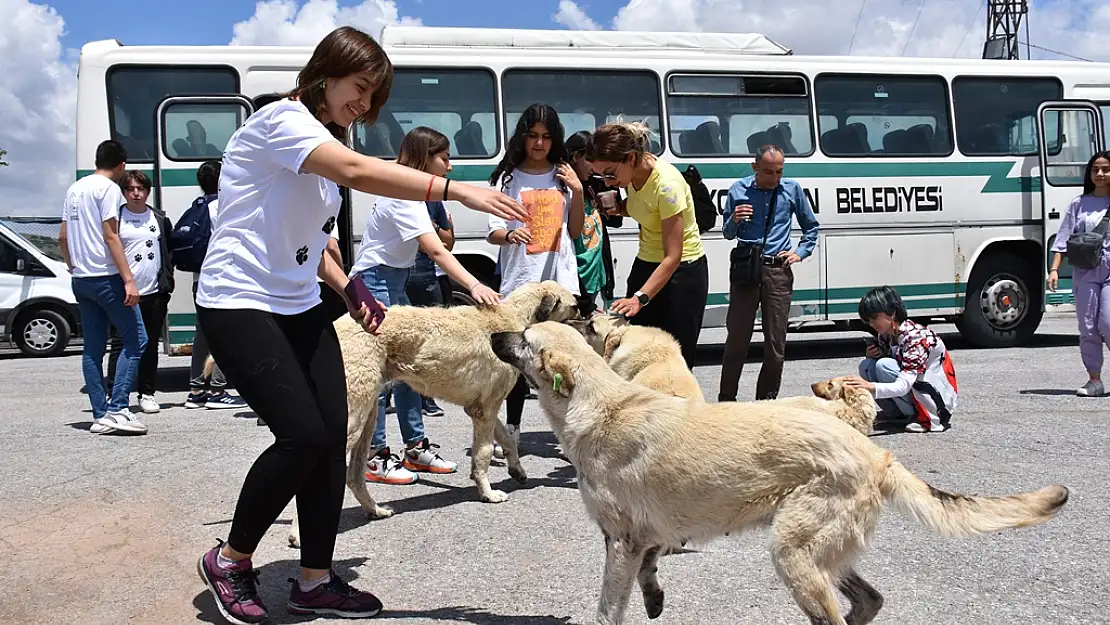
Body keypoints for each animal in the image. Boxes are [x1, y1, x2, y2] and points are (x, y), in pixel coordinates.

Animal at [281, 281, 577, 548]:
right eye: (573, 305)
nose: (586, 314)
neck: (512, 319)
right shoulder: (486, 410)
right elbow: (482, 454)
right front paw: (488, 493)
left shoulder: (481, 408)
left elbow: (507, 439)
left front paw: (517, 469)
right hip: (353, 416)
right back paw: (300, 534)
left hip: (367, 413)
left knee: (354, 476)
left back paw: (375, 510)